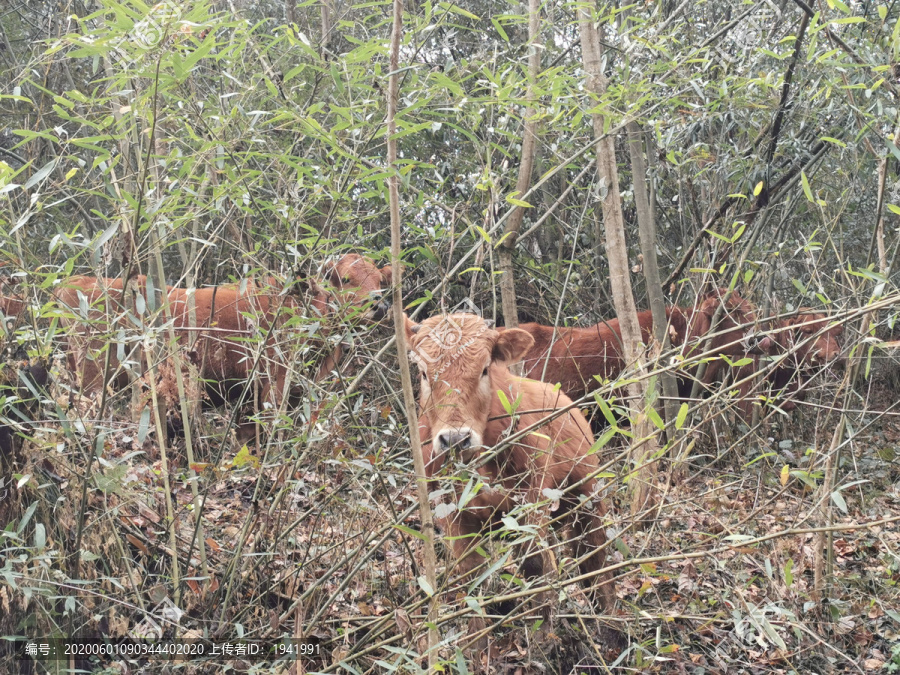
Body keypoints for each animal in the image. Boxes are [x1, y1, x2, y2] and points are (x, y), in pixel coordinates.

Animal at [406, 314, 612, 616]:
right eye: (422, 372)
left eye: (484, 369)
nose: (456, 439)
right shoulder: (453, 515)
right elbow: (471, 578)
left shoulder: (532, 498)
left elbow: (534, 565)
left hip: (588, 495)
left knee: (592, 555)